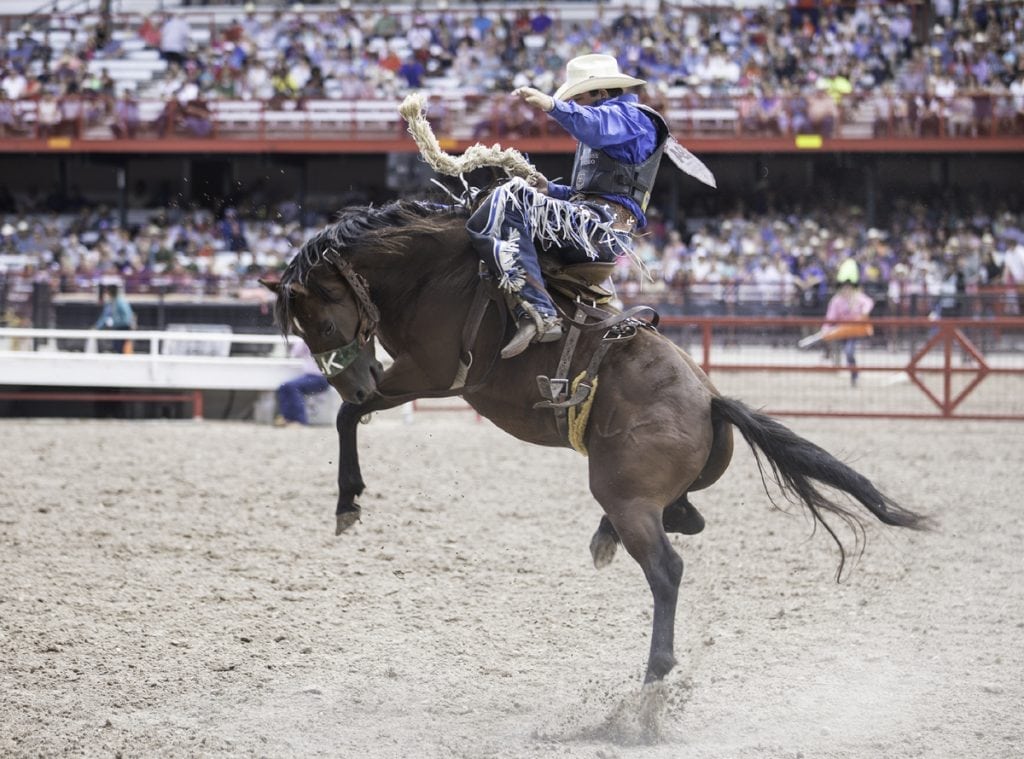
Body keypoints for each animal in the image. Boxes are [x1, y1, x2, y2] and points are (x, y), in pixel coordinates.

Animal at [261, 198, 929, 685]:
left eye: (321, 323)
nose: (351, 375)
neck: (436, 274)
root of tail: (712, 401)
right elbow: (352, 415)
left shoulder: (427, 374)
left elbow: (348, 416)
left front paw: (348, 501)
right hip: (642, 490)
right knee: (687, 519)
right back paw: (606, 543)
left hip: (627, 496)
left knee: (667, 566)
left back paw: (655, 669)